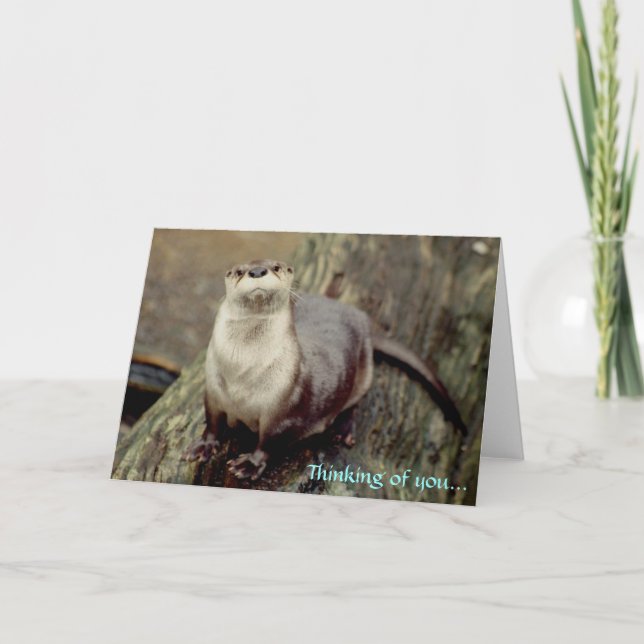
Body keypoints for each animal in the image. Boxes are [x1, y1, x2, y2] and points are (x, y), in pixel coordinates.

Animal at [184, 259, 466, 480]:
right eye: (239, 271)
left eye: (276, 267)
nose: (257, 271)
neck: (241, 374)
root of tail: (362, 319)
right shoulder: (213, 390)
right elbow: (212, 422)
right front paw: (202, 447)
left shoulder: (284, 407)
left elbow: (269, 441)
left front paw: (249, 465)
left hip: (364, 371)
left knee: (354, 403)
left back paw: (343, 431)